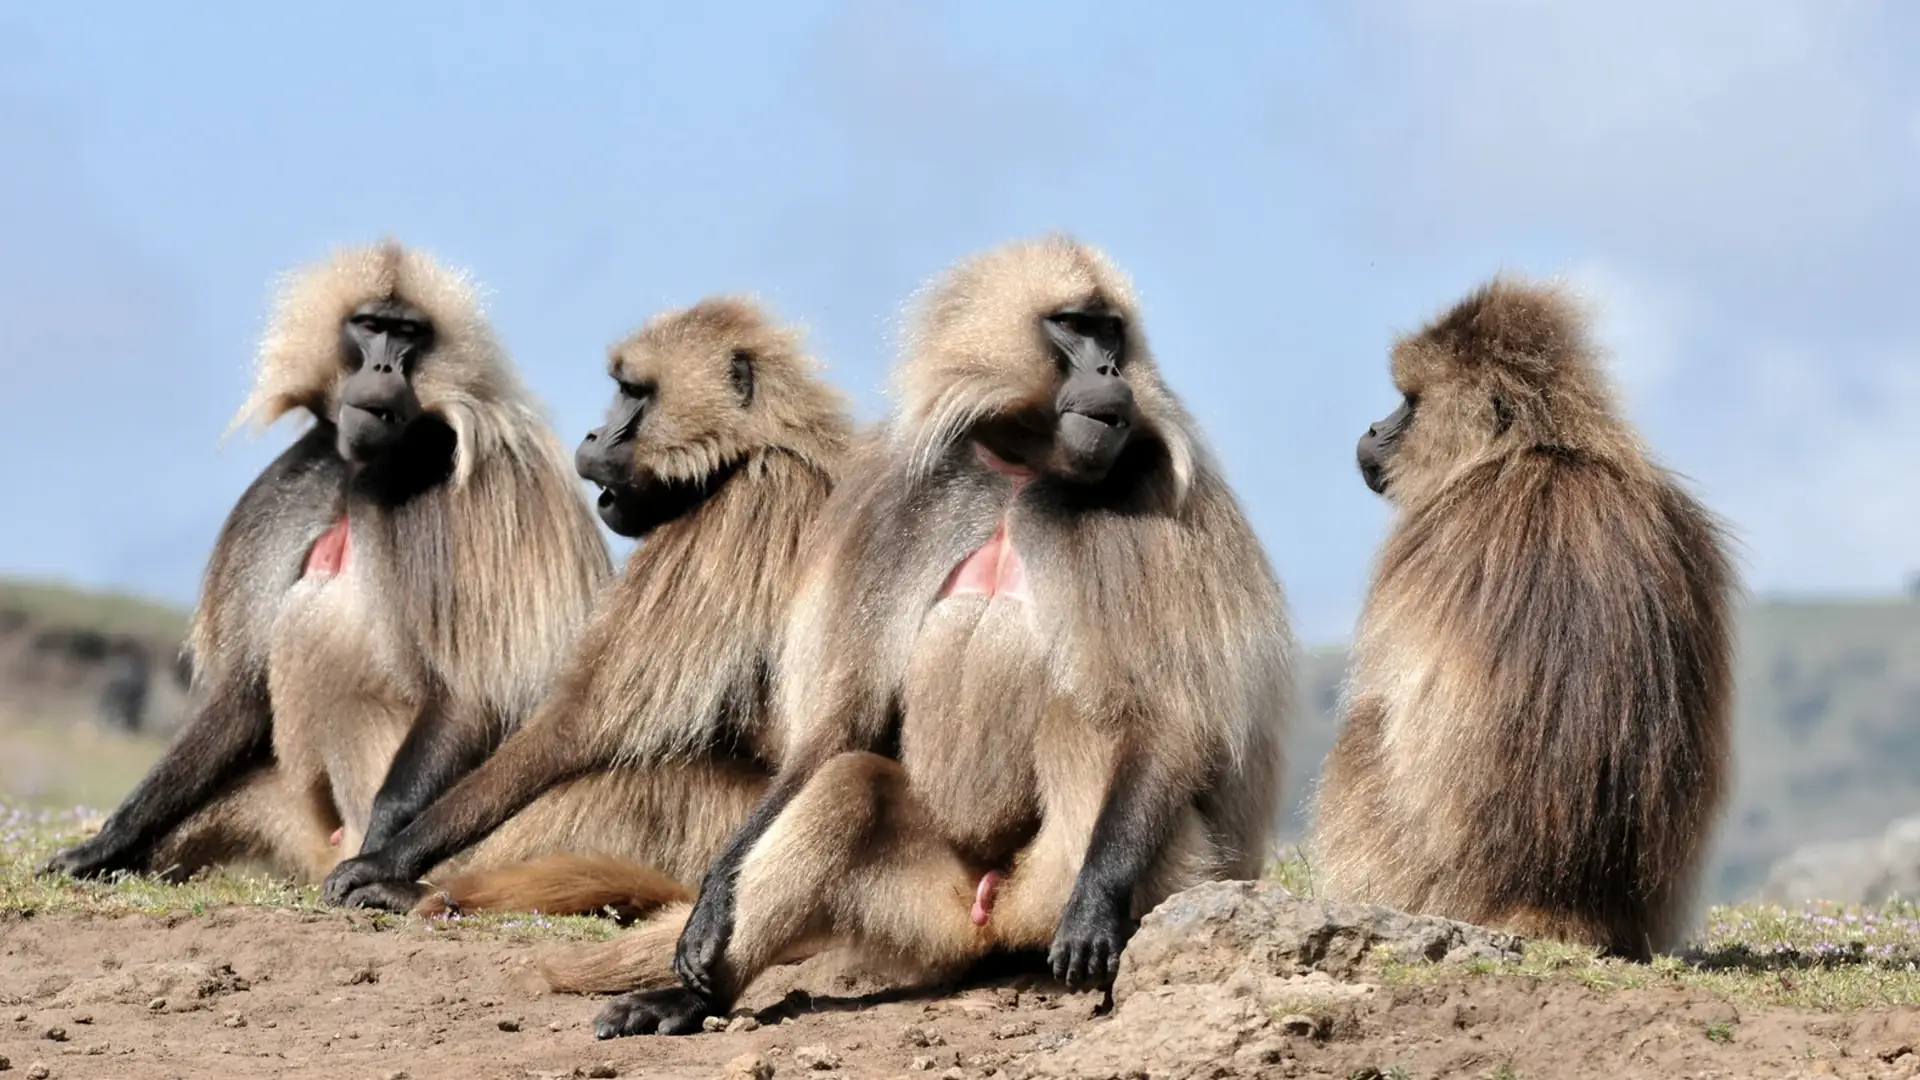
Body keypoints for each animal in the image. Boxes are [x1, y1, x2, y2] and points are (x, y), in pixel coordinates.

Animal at [40, 240, 611, 884]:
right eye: (369, 327)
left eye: (407, 333)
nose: (384, 369)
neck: (369, 467)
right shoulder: (299, 478)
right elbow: (242, 695)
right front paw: (103, 843)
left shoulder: (479, 486)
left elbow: (471, 693)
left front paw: (380, 859)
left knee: (322, 630)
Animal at [316, 296, 855, 916]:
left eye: (634, 392)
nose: (595, 435)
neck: (762, 446)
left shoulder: (749, 505)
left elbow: (580, 725)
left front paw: (385, 862)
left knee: (645, 778)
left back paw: (425, 891)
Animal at [532, 234, 1293, 1039]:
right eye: (1075, 328)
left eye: (1111, 333)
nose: (1112, 373)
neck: (1022, 470)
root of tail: (990, 916)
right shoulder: (892, 500)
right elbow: (840, 728)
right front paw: (713, 899)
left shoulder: (1160, 501)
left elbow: (1170, 720)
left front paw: (1096, 908)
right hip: (927, 911)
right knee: (848, 786)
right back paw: (696, 996)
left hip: (1118, 884)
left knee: (1085, 722)